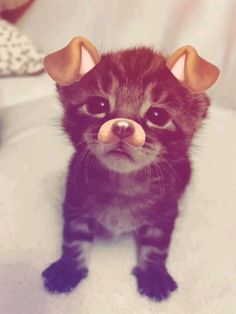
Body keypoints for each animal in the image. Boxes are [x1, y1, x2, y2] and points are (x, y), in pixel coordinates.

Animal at [41, 38, 219, 300]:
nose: (123, 127)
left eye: (157, 115)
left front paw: (154, 274)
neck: (122, 182)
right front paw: (68, 267)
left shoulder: (166, 210)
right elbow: (74, 238)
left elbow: (156, 247)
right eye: (97, 105)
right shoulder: (75, 200)